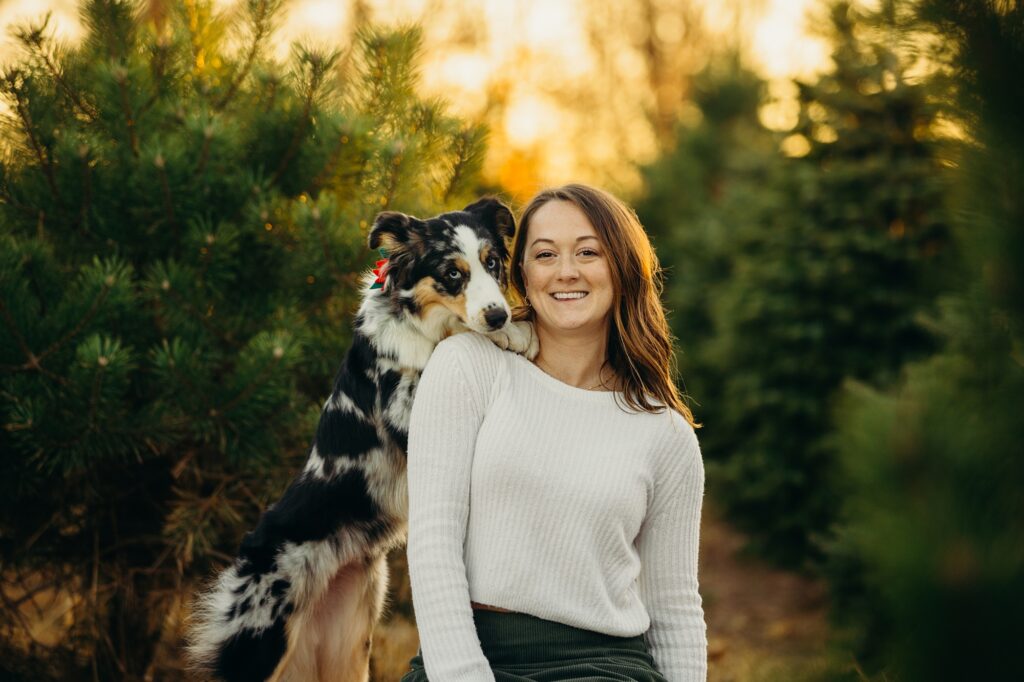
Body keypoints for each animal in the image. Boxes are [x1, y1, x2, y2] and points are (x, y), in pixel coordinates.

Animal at [187, 196, 536, 679]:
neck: (422, 326)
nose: (498, 313)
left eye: (493, 263)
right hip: (260, 636)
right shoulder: (404, 405)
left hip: (349, 642)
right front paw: (508, 334)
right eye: (452, 274)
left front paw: (515, 330)